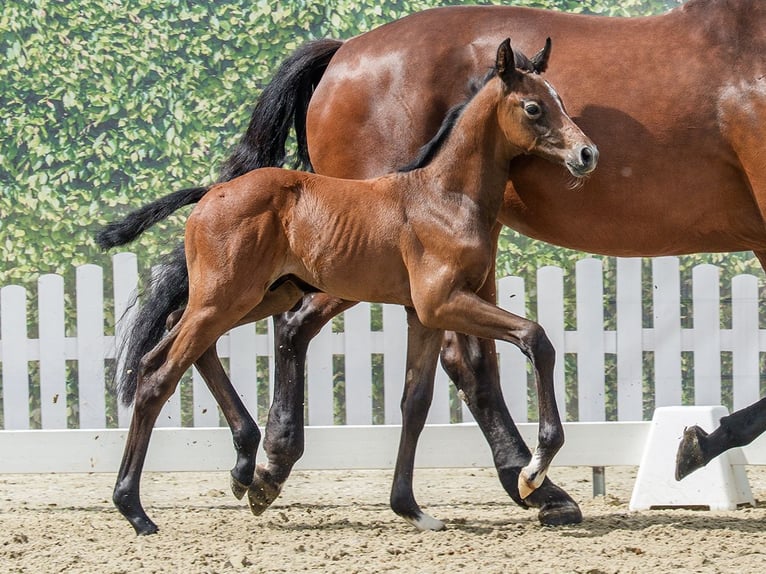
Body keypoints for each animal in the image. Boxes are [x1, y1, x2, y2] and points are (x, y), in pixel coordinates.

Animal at [107, 38, 597, 535]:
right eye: (534, 107)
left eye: (559, 99)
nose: (586, 154)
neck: (442, 196)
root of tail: (210, 194)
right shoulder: (444, 303)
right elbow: (536, 338)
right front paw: (533, 472)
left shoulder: (423, 315)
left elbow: (415, 402)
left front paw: (410, 507)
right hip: (225, 298)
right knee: (159, 374)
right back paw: (135, 509)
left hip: (259, 296)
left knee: (173, 340)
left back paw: (245, 465)